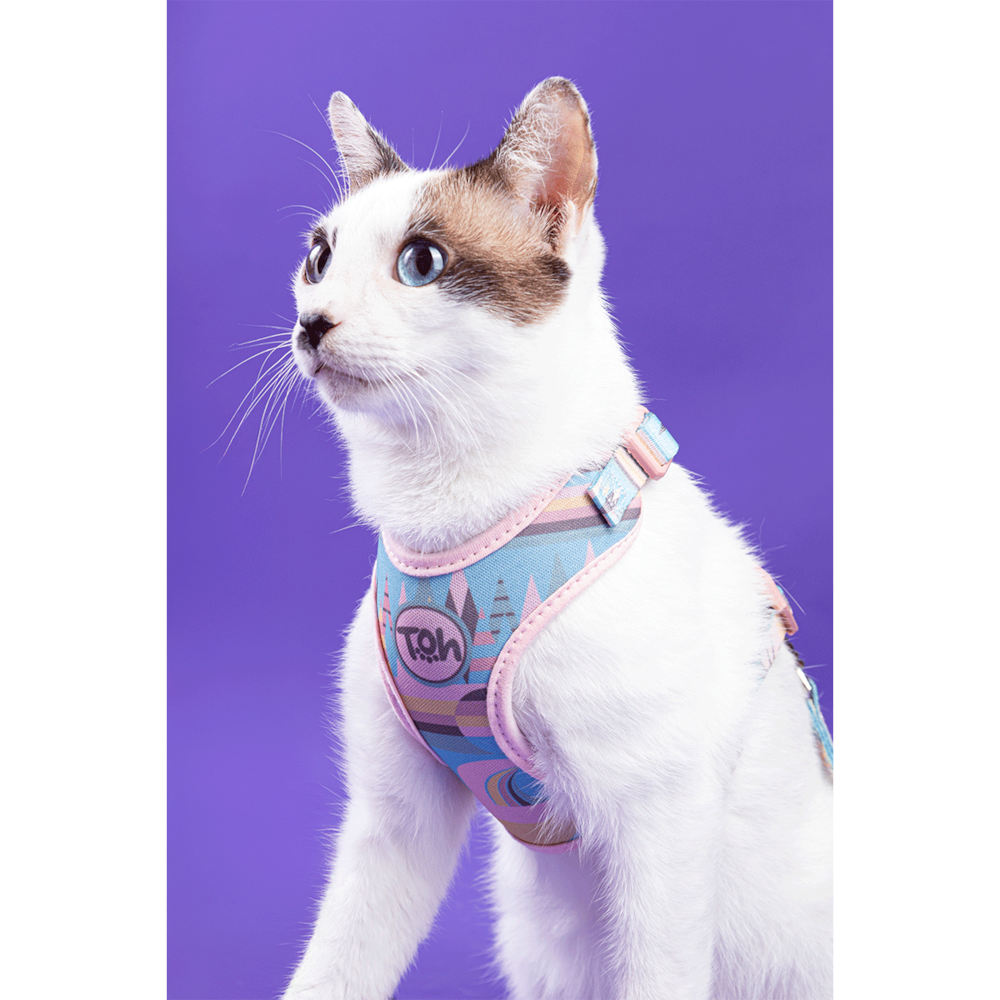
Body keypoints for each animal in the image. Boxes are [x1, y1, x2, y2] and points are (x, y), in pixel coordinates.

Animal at [280, 78, 832, 1000]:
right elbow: (334, 968)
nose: (312, 321)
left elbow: (659, 974)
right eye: (318, 259)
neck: (455, 528)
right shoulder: (395, 820)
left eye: (421, 263)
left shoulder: (659, 820)